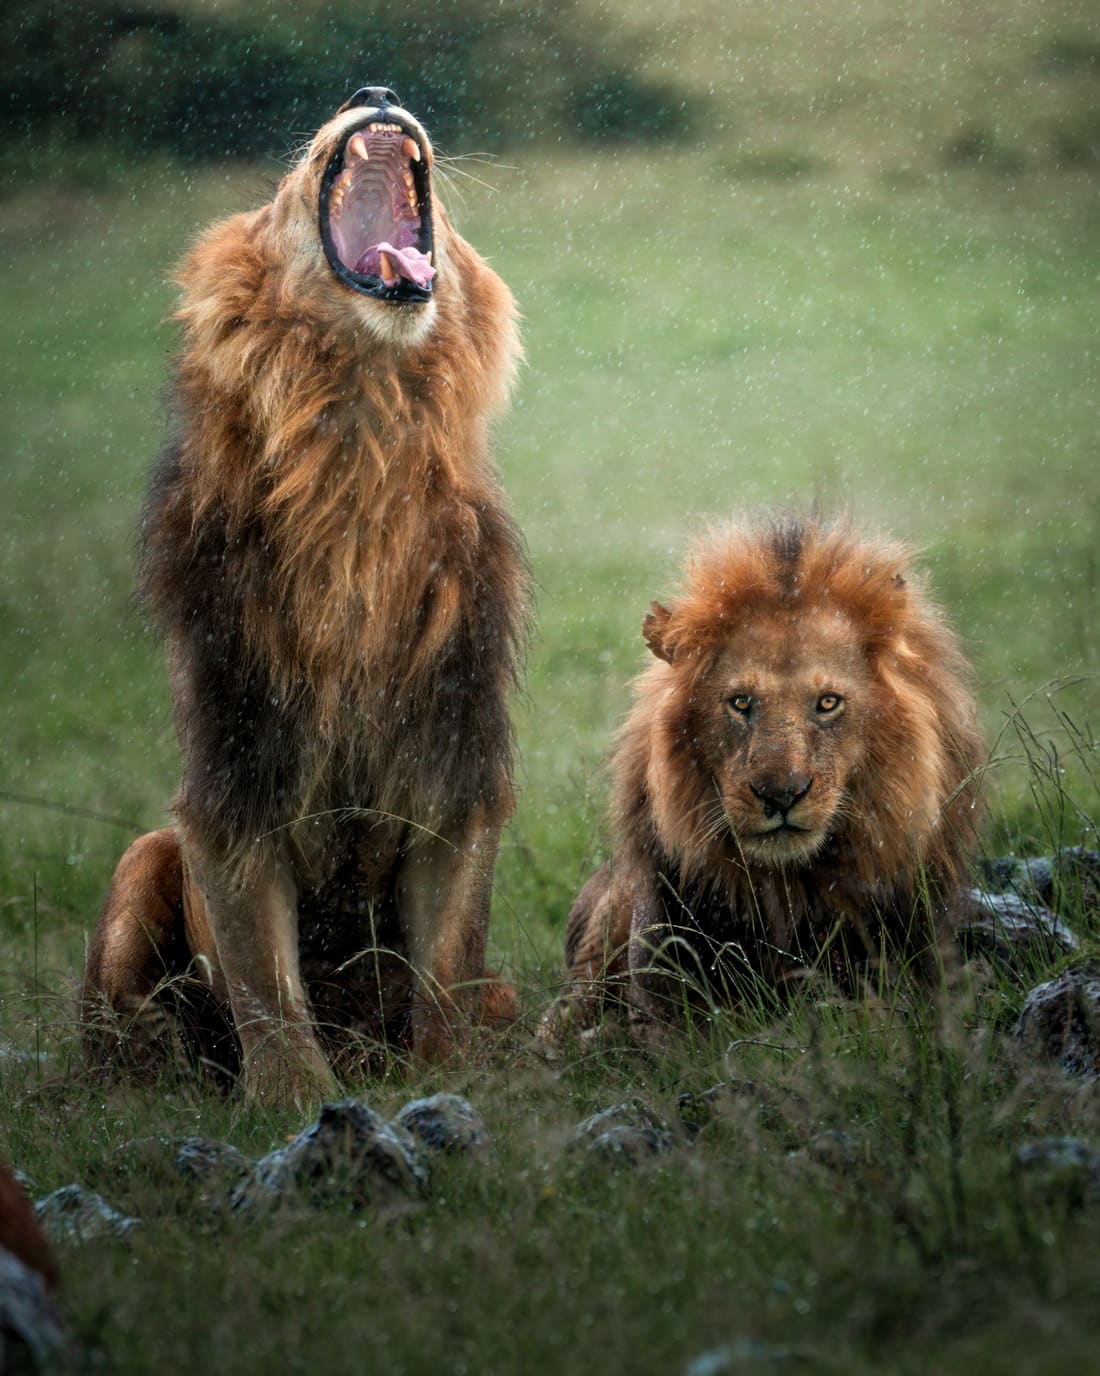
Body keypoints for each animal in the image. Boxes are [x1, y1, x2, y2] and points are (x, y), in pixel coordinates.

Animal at [81, 87, 529, 1104]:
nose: (376, 94)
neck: (362, 430)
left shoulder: (454, 767)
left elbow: (447, 967)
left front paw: (451, 1083)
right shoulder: (233, 774)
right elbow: (266, 987)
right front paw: (296, 1103)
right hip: (141, 860)